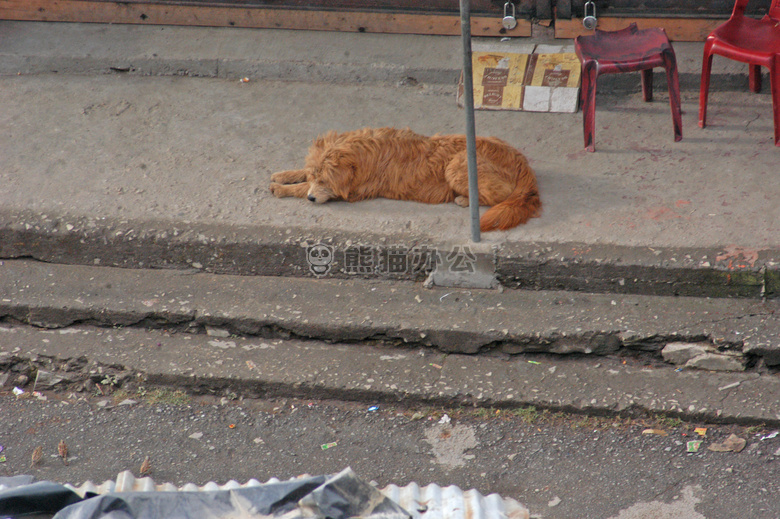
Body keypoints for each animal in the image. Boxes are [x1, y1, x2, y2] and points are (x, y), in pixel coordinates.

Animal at [272, 127, 540, 231]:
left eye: (325, 181)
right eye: (317, 176)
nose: (312, 199)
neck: (361, 152)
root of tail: (524, 165)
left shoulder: (351, 192)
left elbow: (301, 189)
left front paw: (282, 189)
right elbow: (301, 174)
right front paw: (283, 175)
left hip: (457, 165)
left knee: (500, 197)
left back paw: (465, 199)